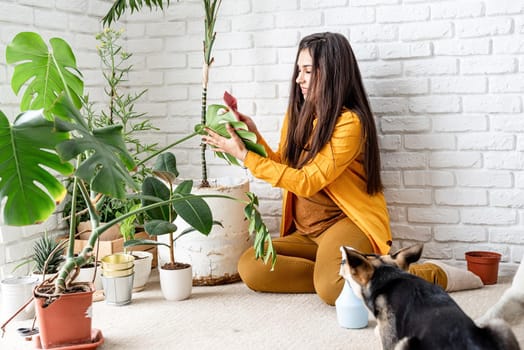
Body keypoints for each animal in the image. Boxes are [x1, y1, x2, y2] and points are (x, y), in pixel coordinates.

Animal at [340, 243, 520, 350]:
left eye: (346, 264)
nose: (342, 258)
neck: (389, 275)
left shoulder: (390, 339)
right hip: (499, 325)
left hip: (405, 343)